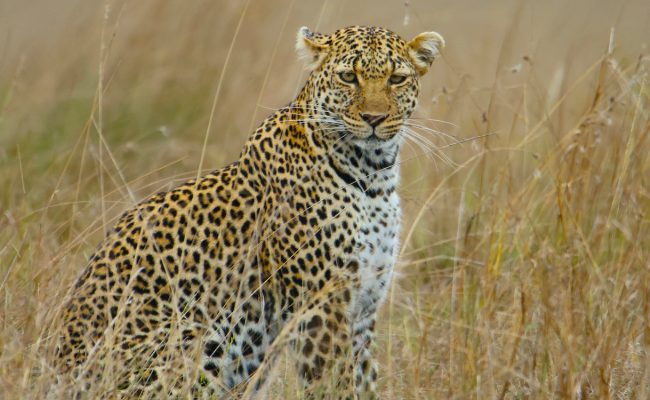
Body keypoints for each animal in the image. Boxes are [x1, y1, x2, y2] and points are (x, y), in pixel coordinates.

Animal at [53, 25, 445, 399]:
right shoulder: (321, 305)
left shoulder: (362, 309)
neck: (374, 176)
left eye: (397, 79)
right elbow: (335, 385)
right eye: (349, 77)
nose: (374, 118)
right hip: (195, 340)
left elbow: (364, 380)